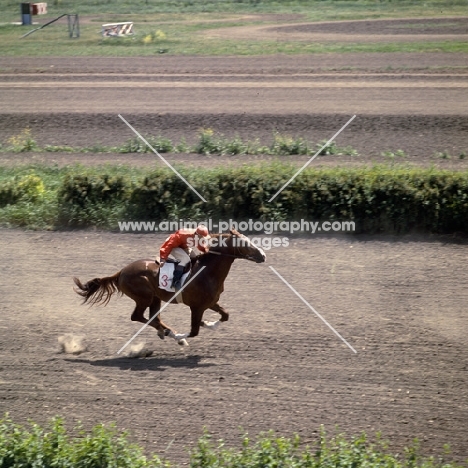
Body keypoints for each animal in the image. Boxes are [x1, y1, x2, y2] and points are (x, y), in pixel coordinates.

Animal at [72, 229, 266, 346]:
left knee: (153, 318)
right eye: (244, 244)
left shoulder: (211, 302)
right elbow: (194, 331)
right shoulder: (196, 307)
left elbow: (225, 315)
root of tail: (121, 272)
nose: (263, 255)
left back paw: (166, 331)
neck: (207, 272)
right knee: (138, 317)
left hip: (155, 298)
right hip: (144, 297)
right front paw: (184, 335)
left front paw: (208, 323)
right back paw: (171, 334)